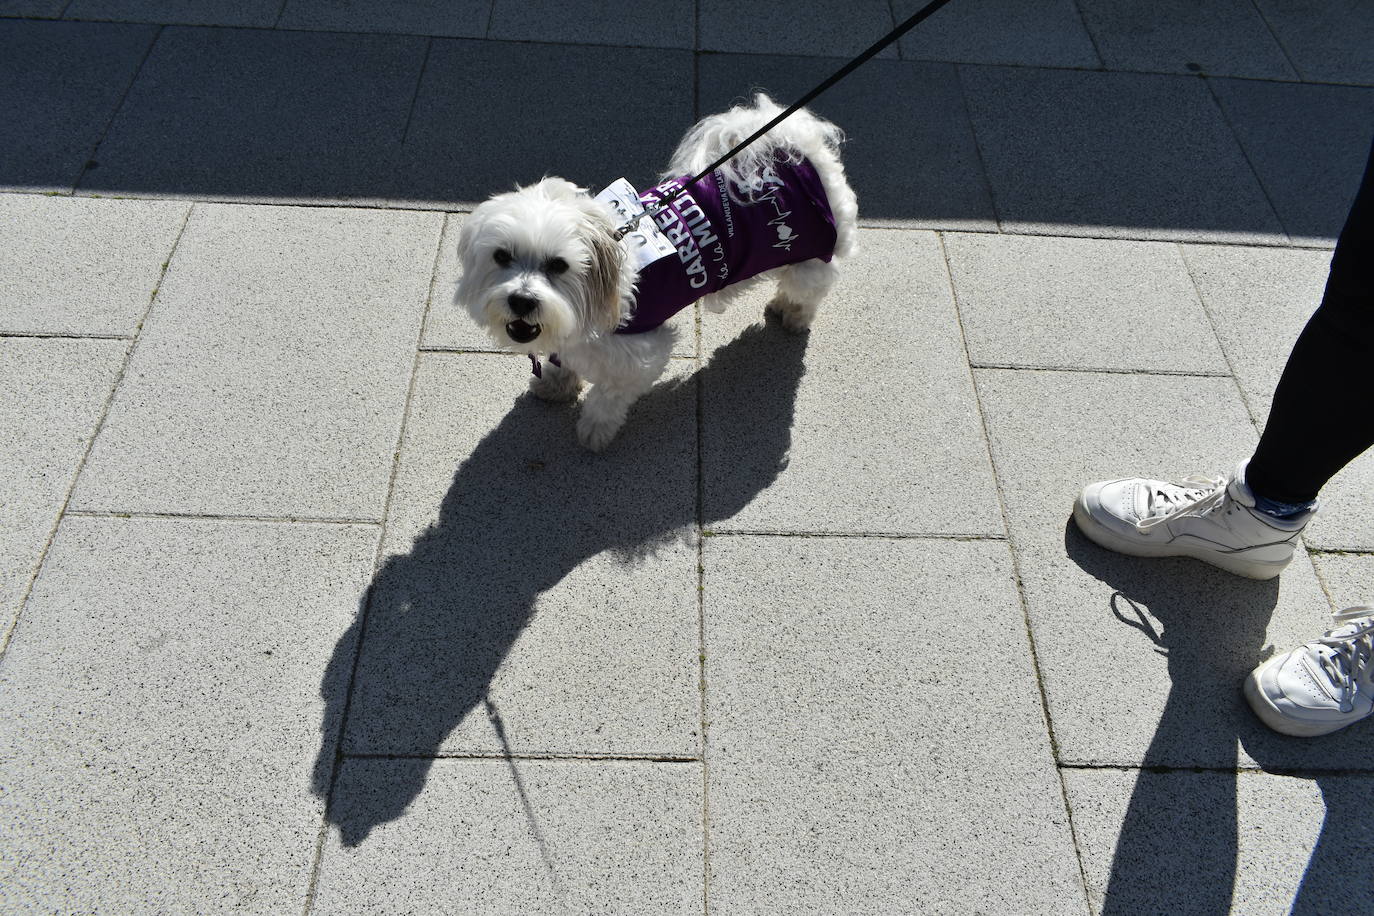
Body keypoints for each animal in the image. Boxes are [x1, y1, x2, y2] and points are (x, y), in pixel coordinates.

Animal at [456, 93, 851, 450]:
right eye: (502, 257)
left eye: (558, 265)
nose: (522, 301)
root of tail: (796, 146)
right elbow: (562, 361)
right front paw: (557, 383)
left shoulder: (640, 354)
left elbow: (609, 396)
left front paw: (596, 429)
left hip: (812, 258)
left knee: (808, 291)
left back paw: (793, 314)